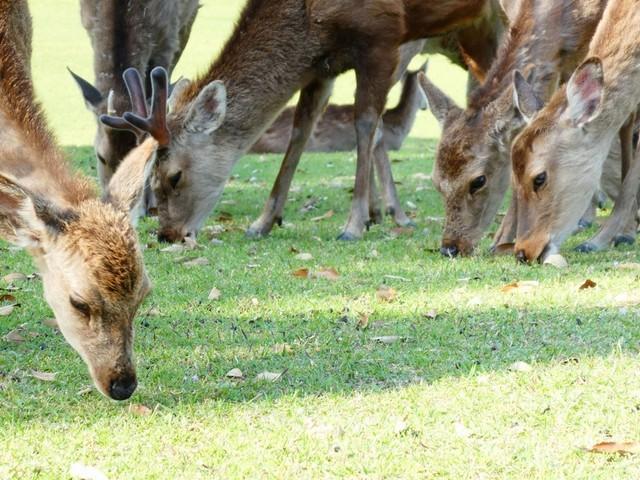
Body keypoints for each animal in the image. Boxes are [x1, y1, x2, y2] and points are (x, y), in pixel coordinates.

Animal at [101, 0, 500, 242]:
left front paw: (355, 224)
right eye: (150, 176)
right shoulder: (322, 66)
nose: (166, 234)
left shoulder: (383, 37)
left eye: (174, 176)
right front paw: (263, 222)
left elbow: (366, 125)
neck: (310, 24)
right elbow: (300, 131)